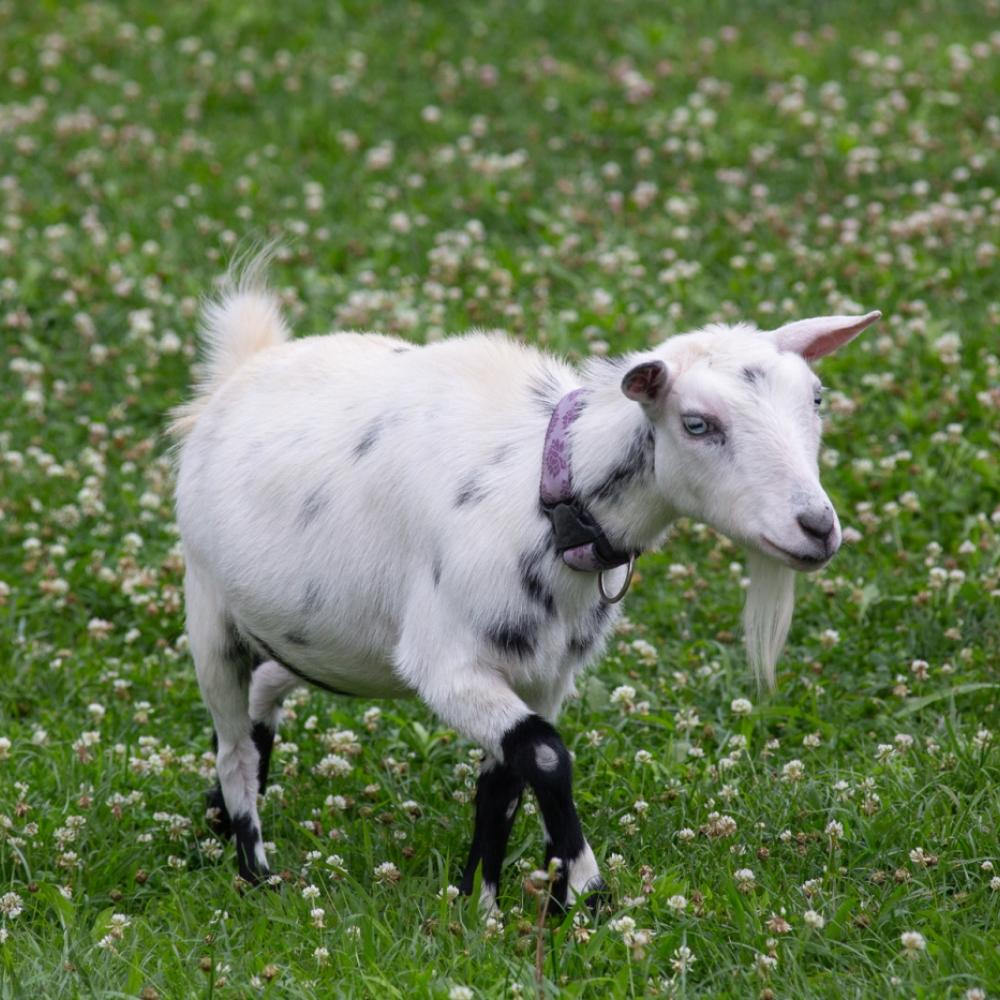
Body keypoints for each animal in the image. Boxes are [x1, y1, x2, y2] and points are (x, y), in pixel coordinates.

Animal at [170, 258, 876, 908]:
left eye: (816, 399)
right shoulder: (448, 665)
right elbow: (544, 756)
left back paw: (217, 820)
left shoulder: (542, 671)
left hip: (319, 639)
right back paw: (254, 868)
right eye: (697, 423)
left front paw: (480, 904)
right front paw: (587, 894)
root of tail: (242, 367)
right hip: (208, 610)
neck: (542, 493)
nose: (817, 529)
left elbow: (504, 782)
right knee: (234, 743)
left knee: (264, 694)